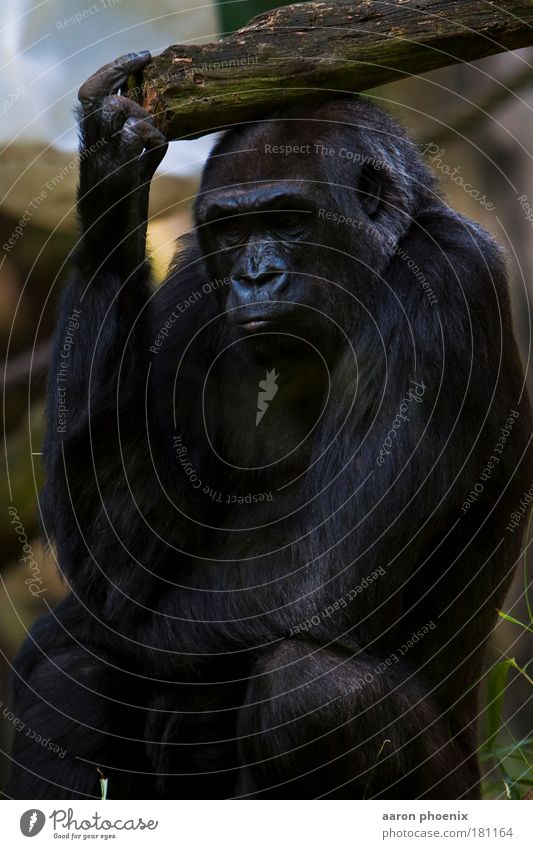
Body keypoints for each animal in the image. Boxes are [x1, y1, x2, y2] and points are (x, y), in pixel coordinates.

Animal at [5, 51, 532, 796]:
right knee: (72, 653)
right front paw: (111, 170)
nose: (255, 276)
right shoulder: (191, 284)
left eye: (287, 219)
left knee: (305, 685)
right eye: (230, 229)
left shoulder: (449, 282)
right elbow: (120, 545)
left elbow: (318, 582)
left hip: (462, 787)